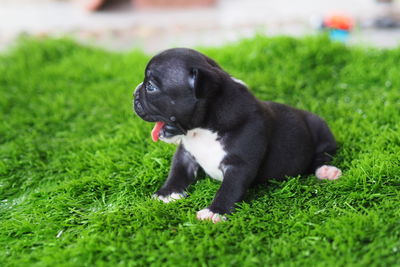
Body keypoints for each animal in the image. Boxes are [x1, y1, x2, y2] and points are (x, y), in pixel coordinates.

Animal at [134, 48, 340, 224]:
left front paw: (215, 212)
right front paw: (167, 193)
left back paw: (327, 170)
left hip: (320, 129)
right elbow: (177, 172)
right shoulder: (186, 154)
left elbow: (229, 189)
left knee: (323, 154)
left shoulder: (239, 165)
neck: (202, 131)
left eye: (150, 86)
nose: (135, 92)